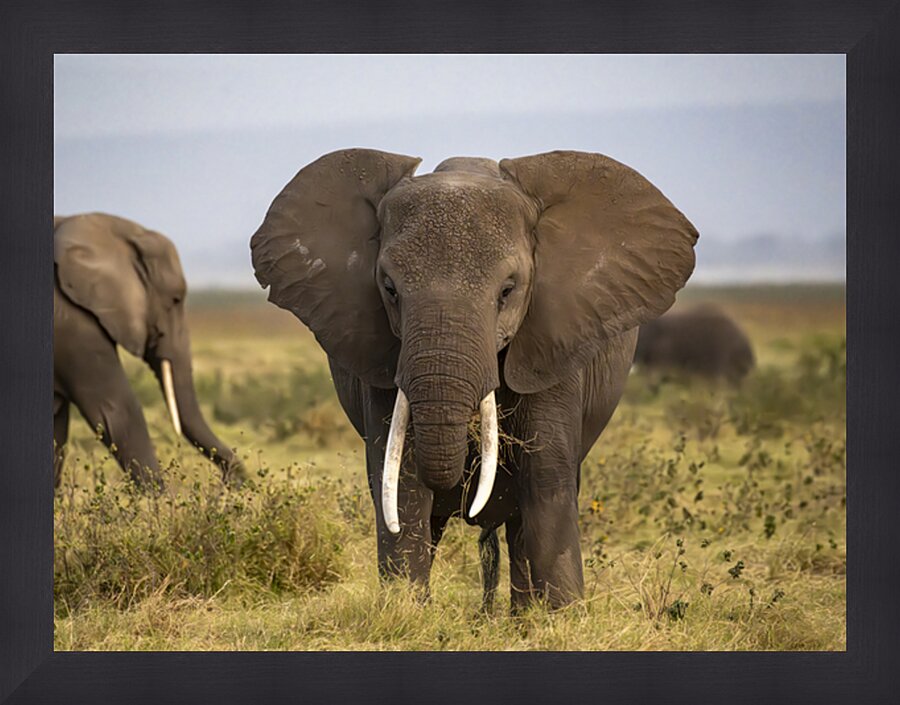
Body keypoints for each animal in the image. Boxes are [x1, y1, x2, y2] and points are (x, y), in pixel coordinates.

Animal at [250, 149, 698, 609]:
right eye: (389, 289)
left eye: (508, 290)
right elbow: (402, 483)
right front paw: (405, 611)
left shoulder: (555, 340)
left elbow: (546, 480)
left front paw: (562, 616)